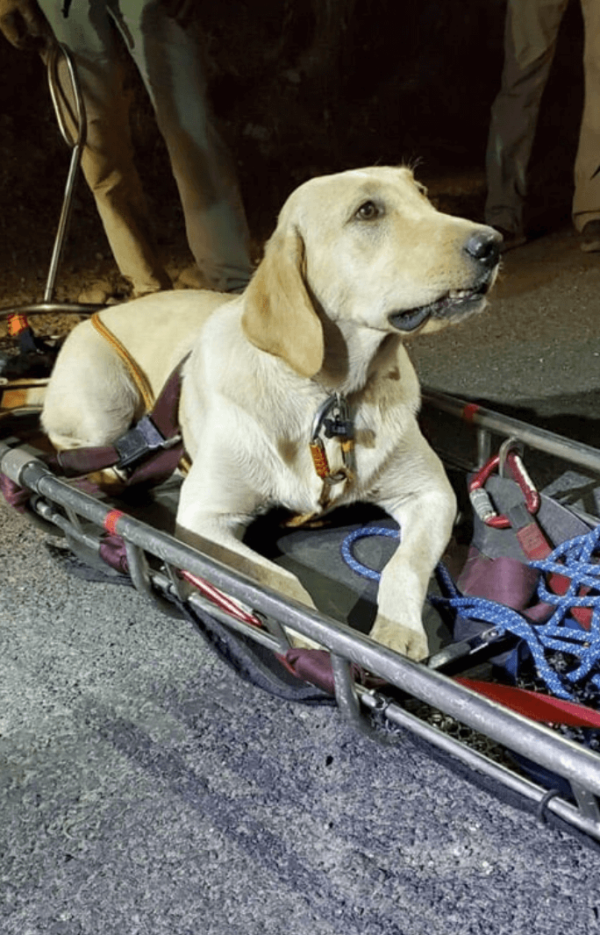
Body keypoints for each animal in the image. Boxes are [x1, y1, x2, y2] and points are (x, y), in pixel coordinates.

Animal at [42, 170, 502, 664]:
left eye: (423, 194)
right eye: (367, 211)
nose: (492, 243)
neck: (328, 396)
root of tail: (91, 316)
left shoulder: (433, 493)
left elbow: (405, 565)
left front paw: (397, 631)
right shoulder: (202, 519)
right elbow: (279, 582)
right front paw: (312, 637)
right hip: (103, 398)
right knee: (73, 444)